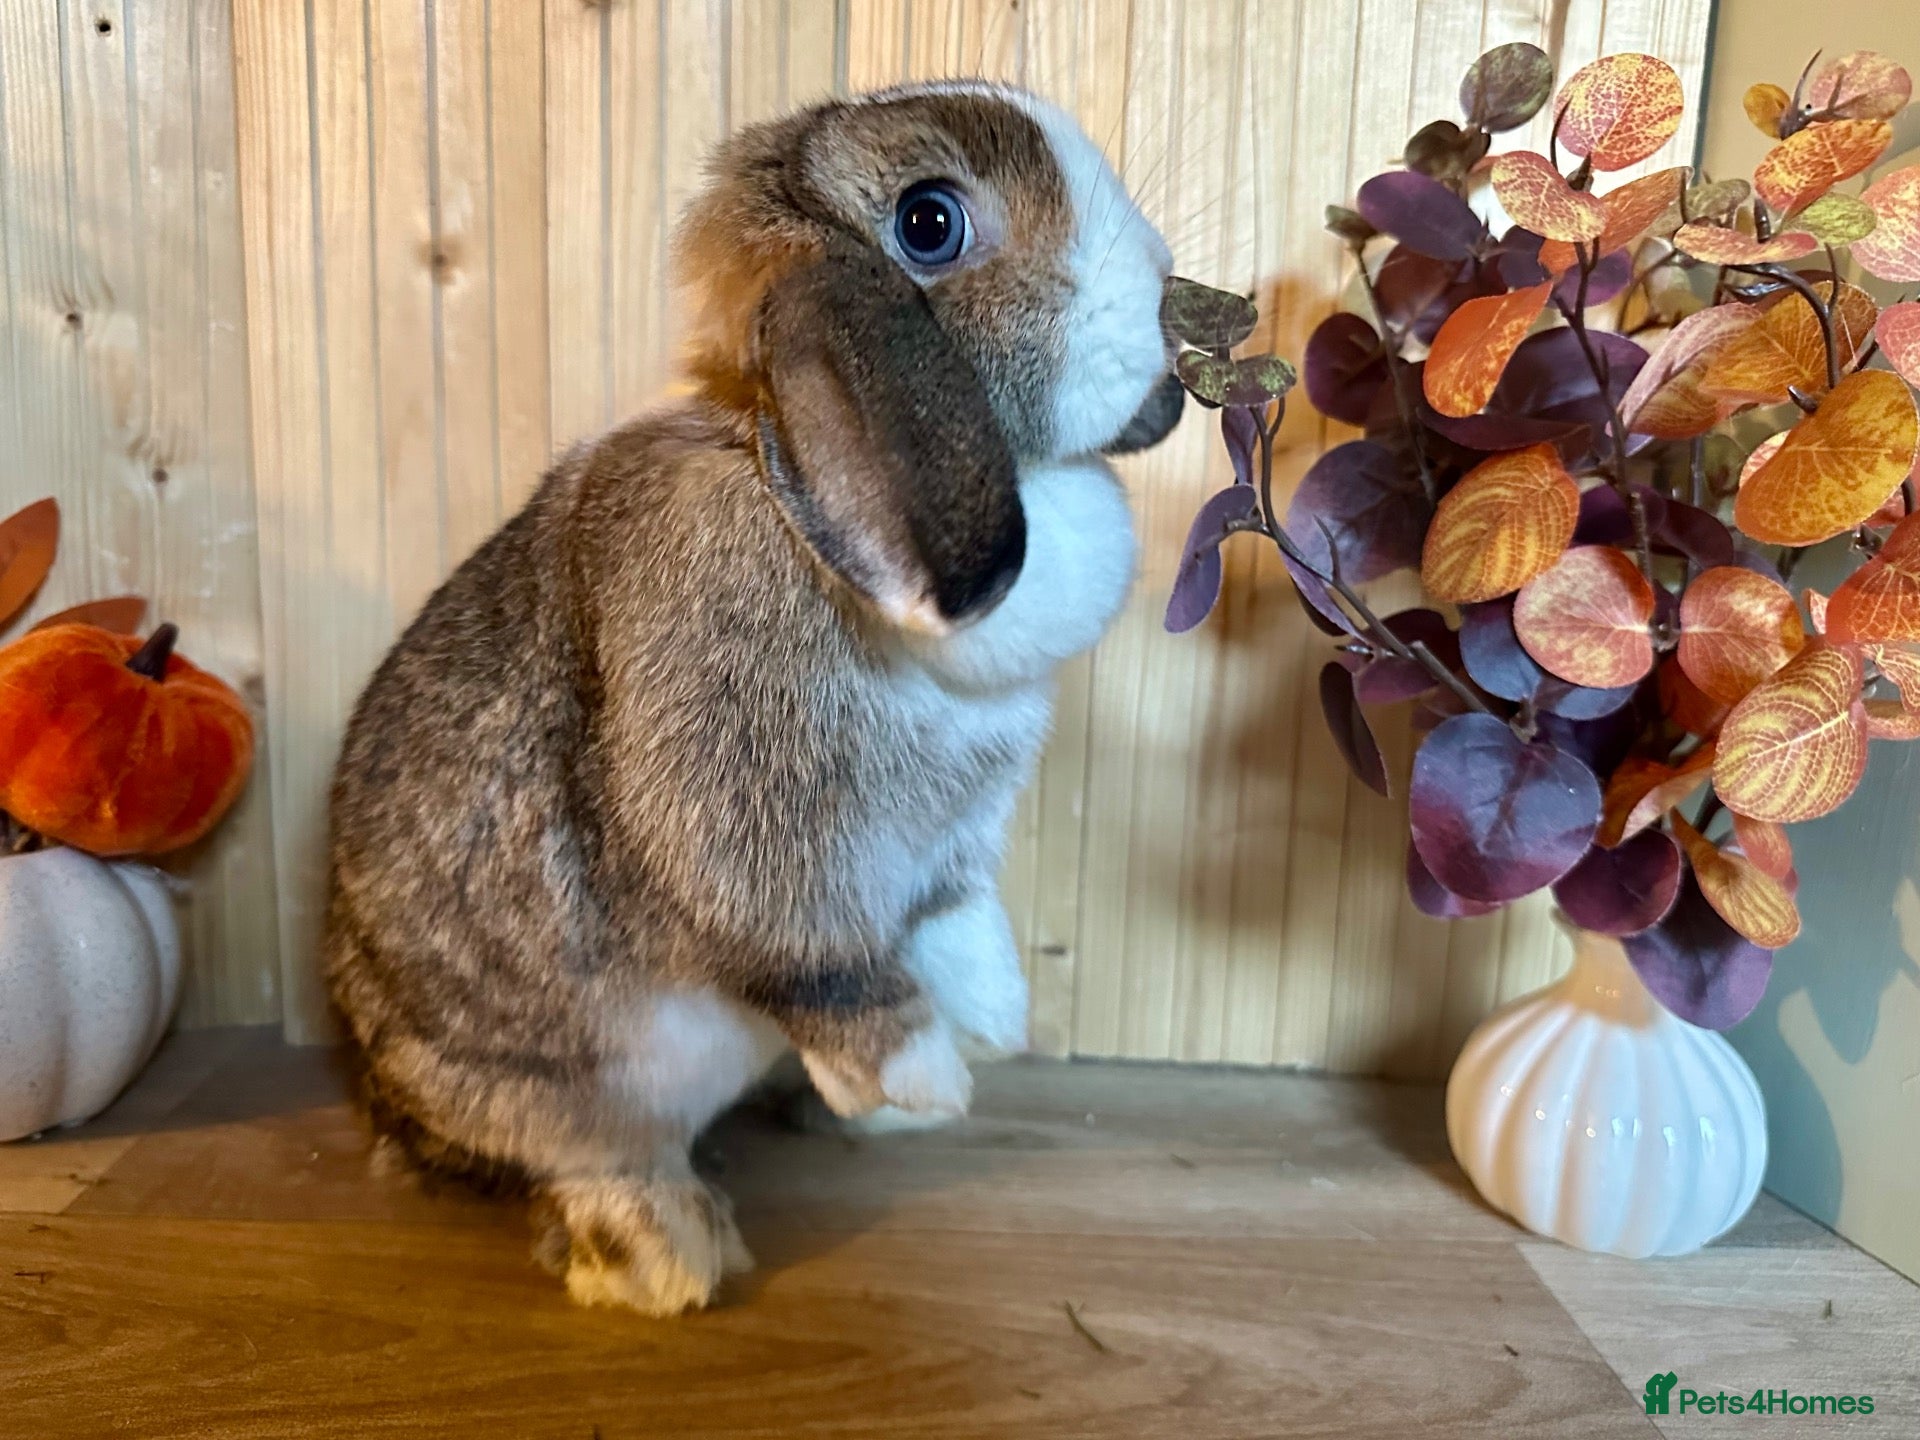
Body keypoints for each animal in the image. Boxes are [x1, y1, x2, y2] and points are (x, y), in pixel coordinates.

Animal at [323, 80, 1185, 1316]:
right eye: (930, 223)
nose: (1165, 293)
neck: (790, 485)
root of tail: (390, 1115)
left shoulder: (953, 847)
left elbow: (953, 923)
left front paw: (997, 1020)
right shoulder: (749, 837)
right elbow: (821, 966)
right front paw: (930, 1081)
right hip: (566, 1089)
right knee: (587, 1155)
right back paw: (664, 1251)